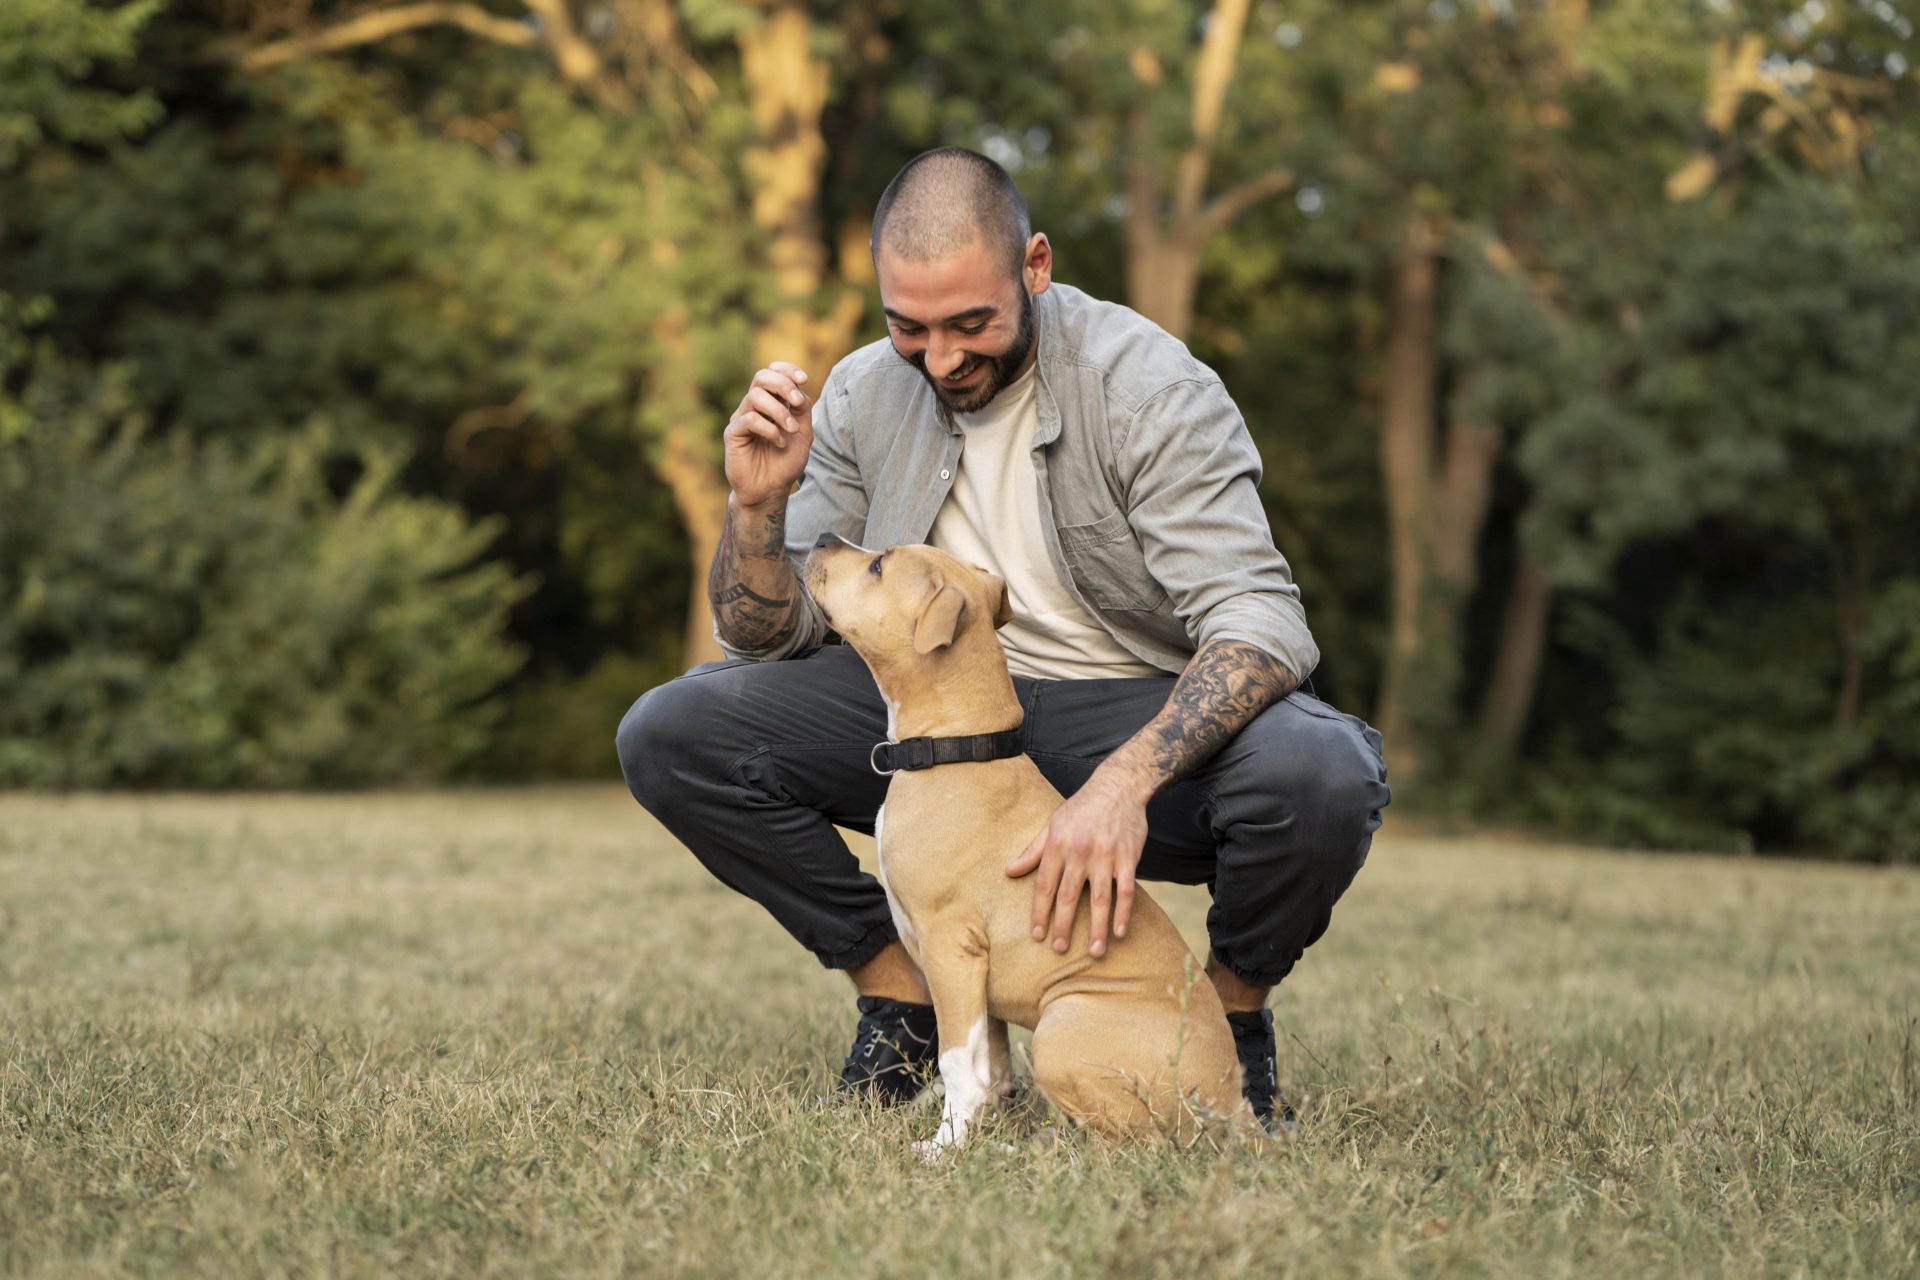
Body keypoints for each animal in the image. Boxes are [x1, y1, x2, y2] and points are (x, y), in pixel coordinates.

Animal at [802, 537, 1251, 1159]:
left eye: (877, 566)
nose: (822, 539)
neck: (957, 748)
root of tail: (1232, 1107)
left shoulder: (951, 949)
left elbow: (957, 1062)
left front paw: (943, 1150)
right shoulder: (975, 974)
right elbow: (987, 1065)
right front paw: (973, 1135)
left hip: (1064, 1025)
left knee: (1126, 1148)